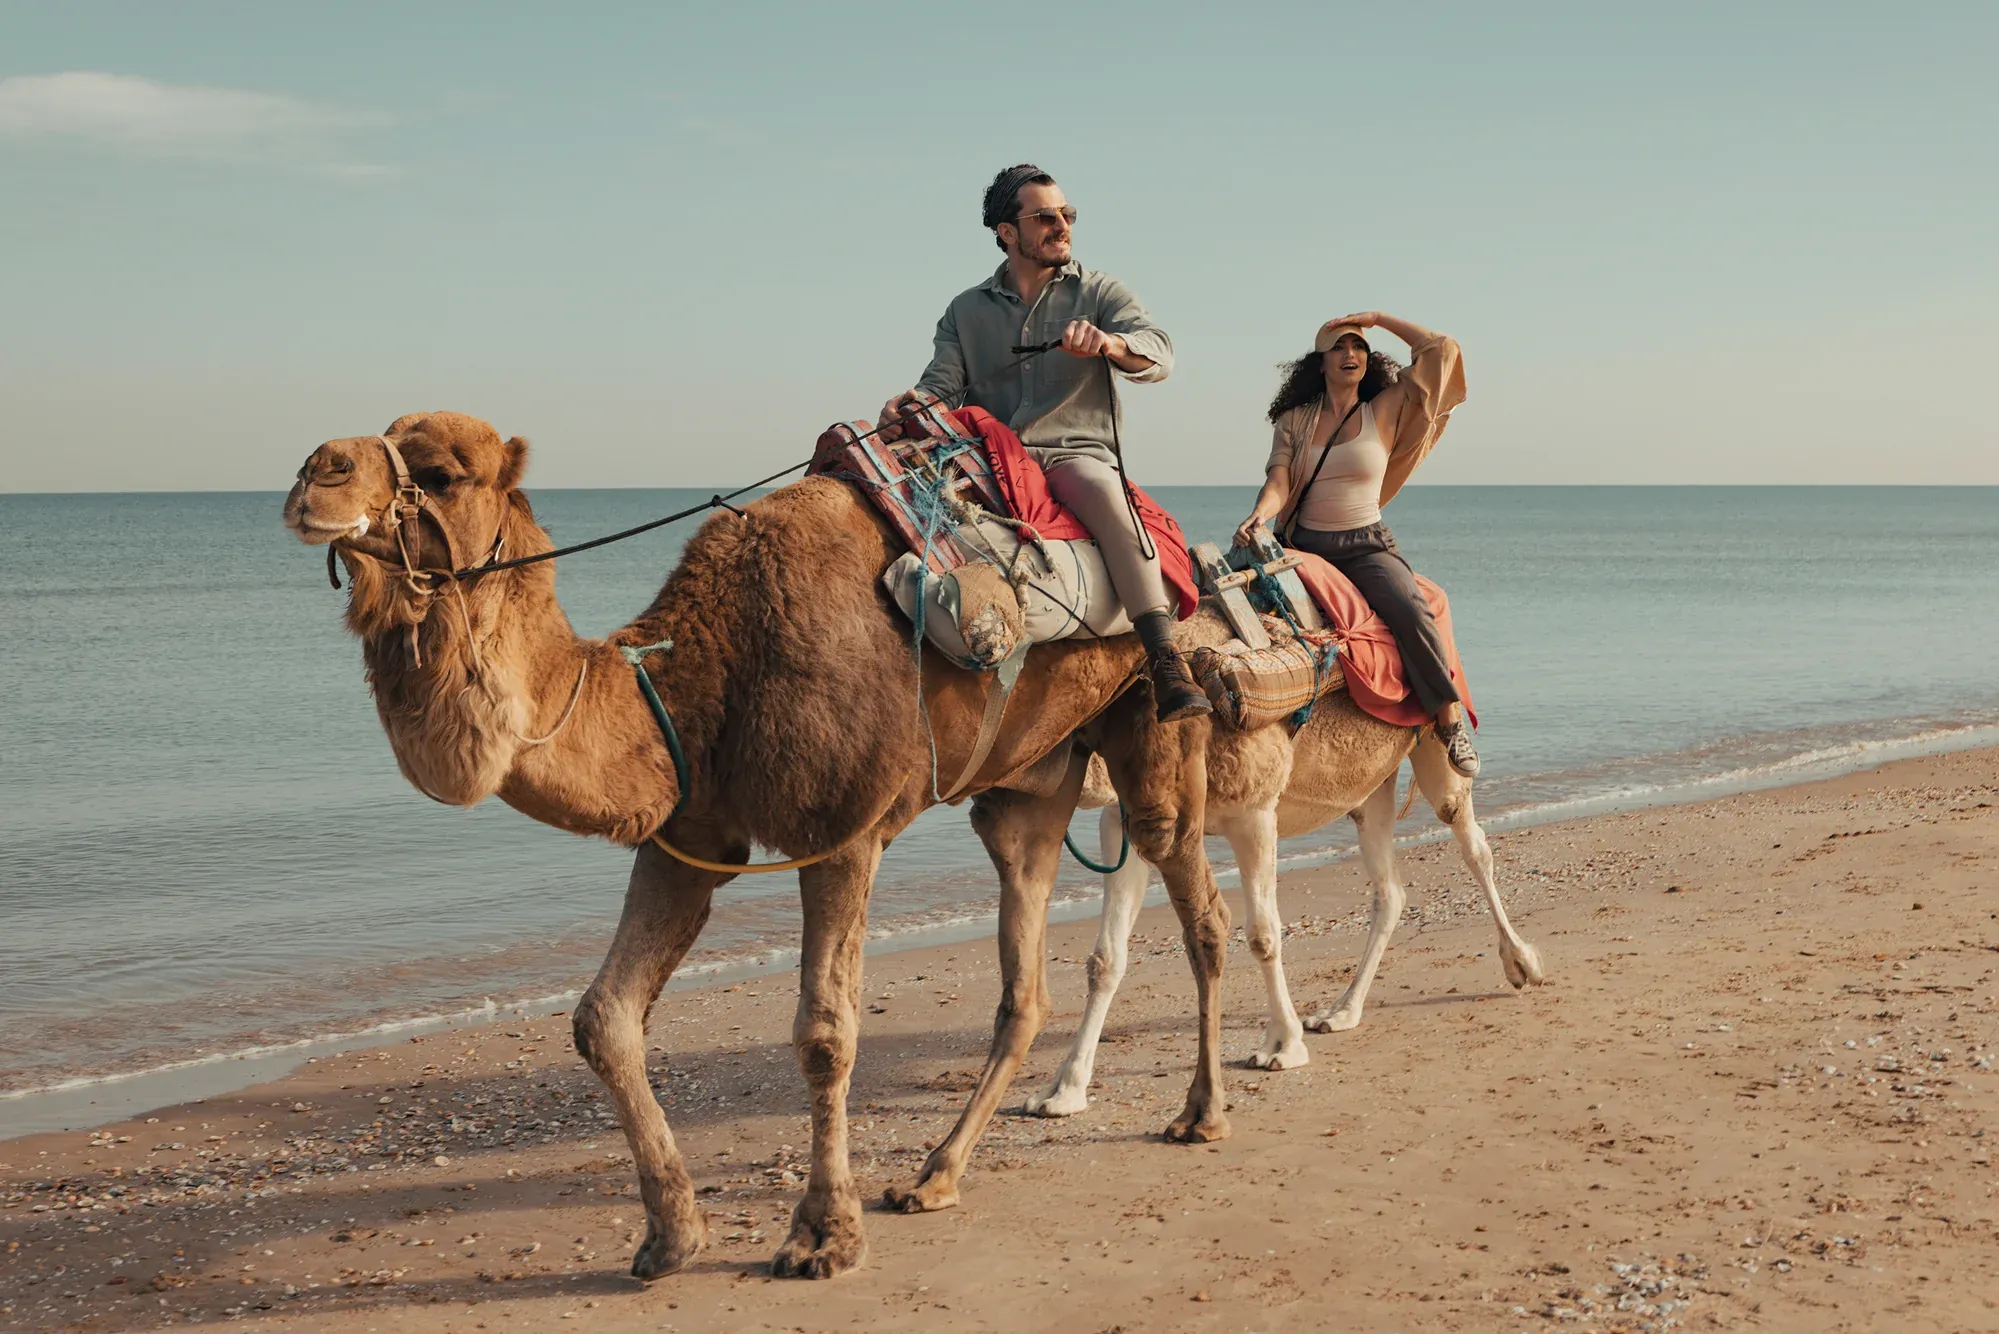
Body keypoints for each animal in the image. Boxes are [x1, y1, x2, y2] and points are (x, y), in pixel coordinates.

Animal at [1023, 723, 1547, 1119]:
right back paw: (1340, 1012)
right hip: (1369, 781)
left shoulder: (1254, 811)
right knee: (1390, 890)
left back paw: (1522, 962)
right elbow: (1105, 958)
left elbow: (1262, 933)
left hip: (1436, 746)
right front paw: (1062, 1091)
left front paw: (1282, 1045)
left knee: (1471, 842)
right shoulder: (1126, 818)